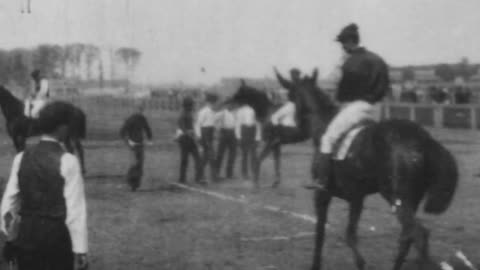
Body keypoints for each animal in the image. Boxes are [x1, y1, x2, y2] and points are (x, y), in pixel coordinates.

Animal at [294, 74, 460, 270]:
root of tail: (425, 140)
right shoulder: (356, 197)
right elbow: (348, 233)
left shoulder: (322, 195)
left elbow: (322, 233)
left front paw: (318, 264)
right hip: (410, 200)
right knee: (407, 236)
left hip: (397, 198)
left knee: (418, 234)